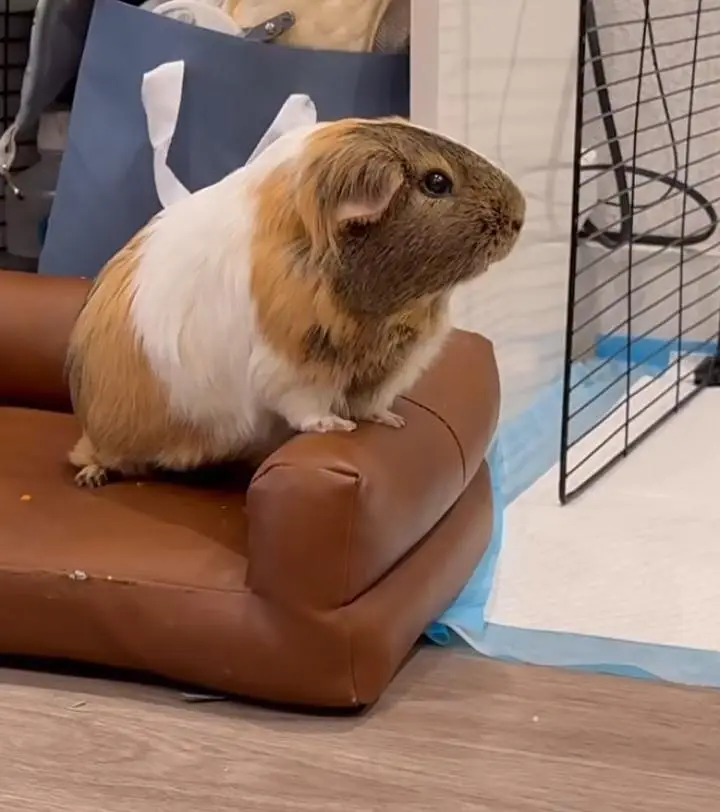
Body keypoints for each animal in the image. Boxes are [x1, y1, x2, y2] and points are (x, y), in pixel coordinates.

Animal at [66, 117, 525, 488]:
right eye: (436, 182)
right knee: (89, 456)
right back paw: (91, 477)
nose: (520, 215)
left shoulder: (389, 369)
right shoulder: (294, 368)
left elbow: (372, 405)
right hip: (108, 442)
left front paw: (391, 421)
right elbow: (307, 408)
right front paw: (337, 427)